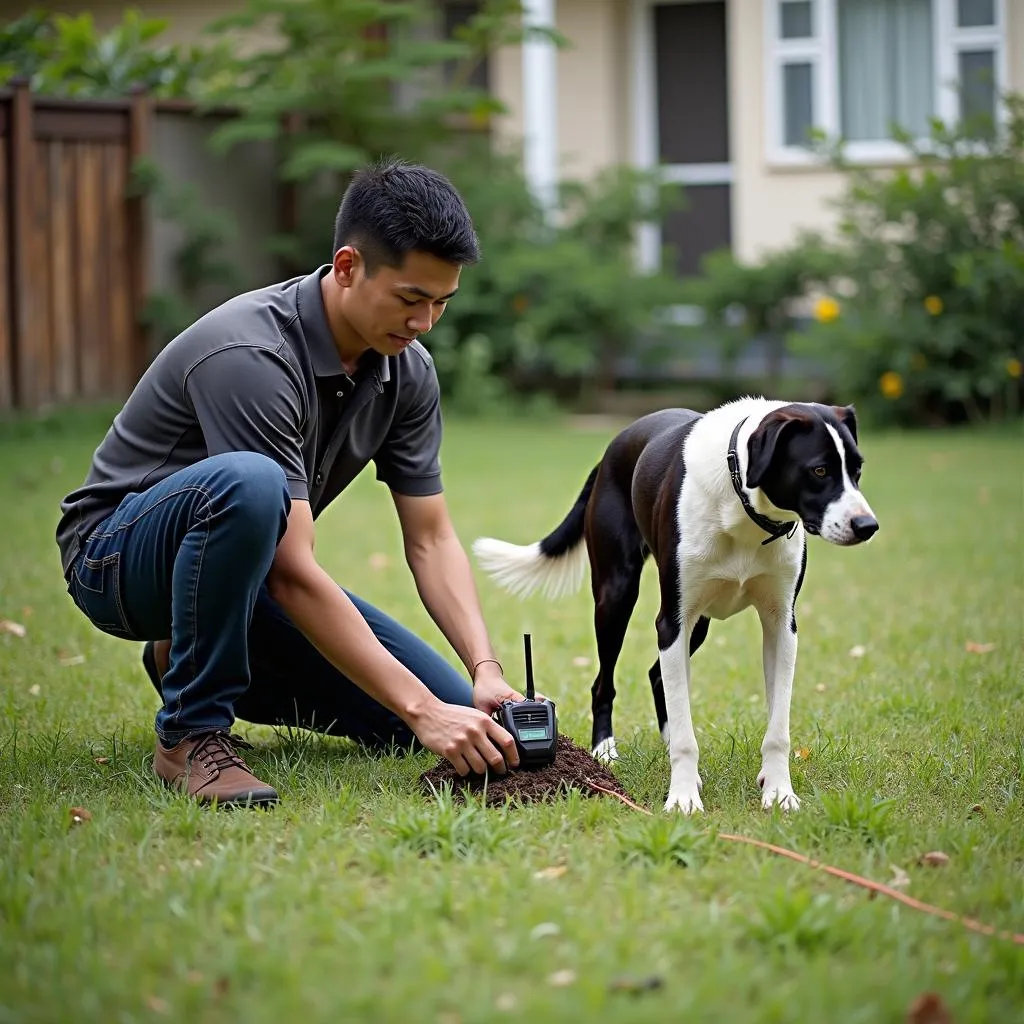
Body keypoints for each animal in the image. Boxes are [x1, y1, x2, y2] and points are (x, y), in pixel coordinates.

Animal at [473, 395, 880, 811]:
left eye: (858, 470)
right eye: (819, 470)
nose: (867, 526)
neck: (743, 504)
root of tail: (611, 450)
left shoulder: (782, 625)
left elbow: (777, 727)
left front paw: (780, 792)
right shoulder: (671, 621)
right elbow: (685, 734)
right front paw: (683, 798)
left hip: (697, 623)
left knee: (658, 677)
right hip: (618, 598)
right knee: (604, 683)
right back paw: (605, 750)